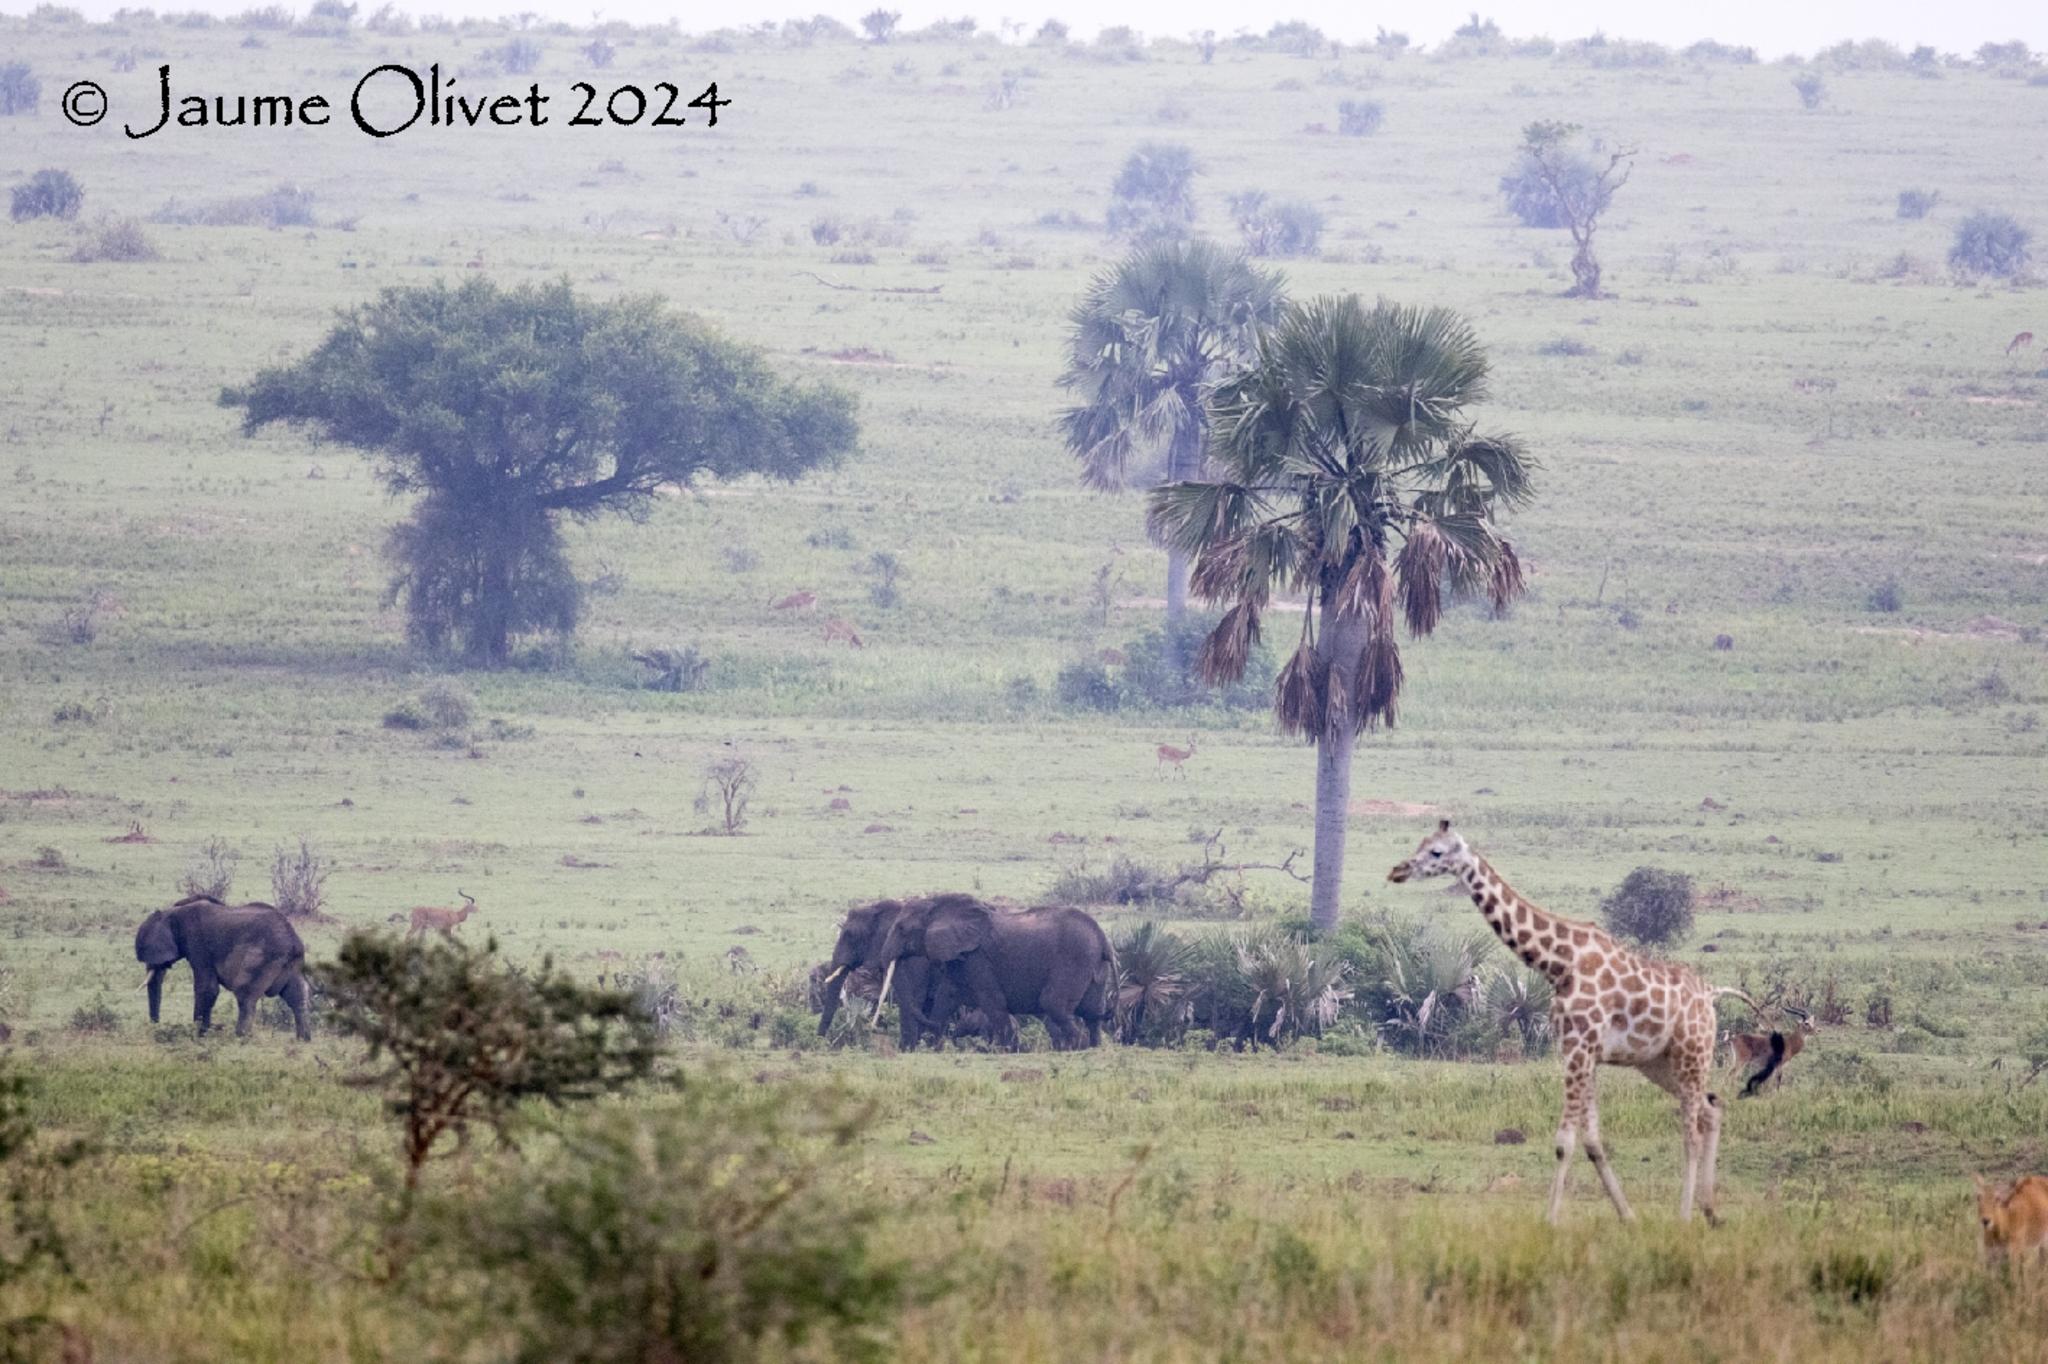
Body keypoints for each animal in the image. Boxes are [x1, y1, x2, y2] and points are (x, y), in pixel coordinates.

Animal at [138, 888, 311, 1036]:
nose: (156, 1026)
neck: (172, 911)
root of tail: (293, 940)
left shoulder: (198, 944)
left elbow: (207, 988)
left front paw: (198, 1035)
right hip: (293, 963)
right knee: (297, 996)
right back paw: (302, 1040)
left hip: (261, 958)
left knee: (245, 995)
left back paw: (240, 1038)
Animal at [1392, 819, 1761, 1220]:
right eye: (1421, 843)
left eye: (1436, 852)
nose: (1398, 871)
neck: (1559, 963)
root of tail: (1710, 994)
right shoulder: (1581, 1051)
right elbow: (1593, 1142)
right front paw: (1628, 1217)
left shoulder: (1579, 1049)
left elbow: (1564, 1141)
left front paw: (1549, 1221)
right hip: (1659, 1063)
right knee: (1712, 1110)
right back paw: (1710, 1213)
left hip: (1692, 1055)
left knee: (1692, 1131)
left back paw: (1684, 1218)